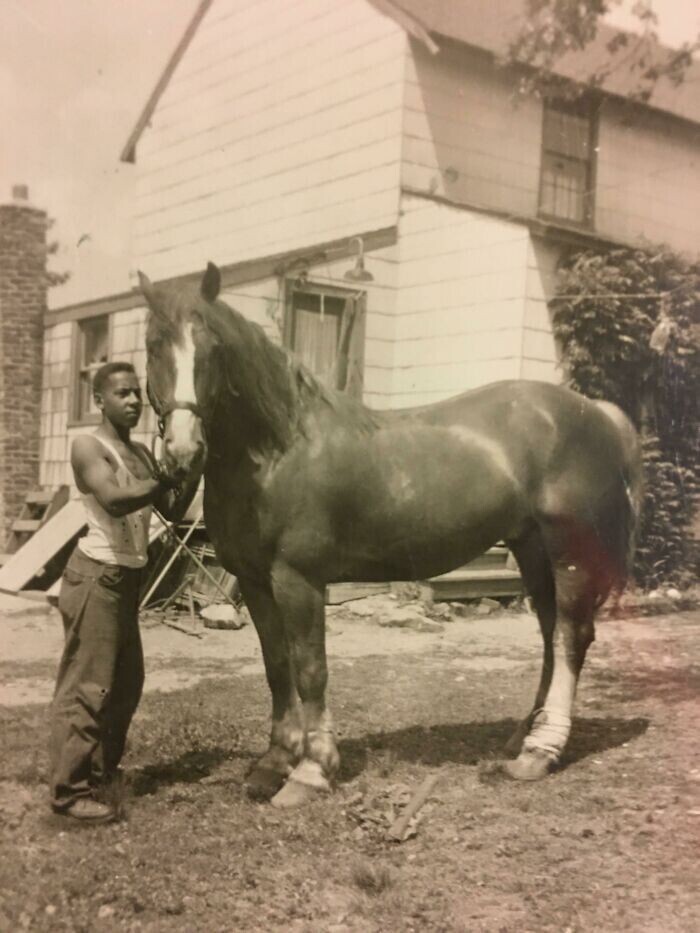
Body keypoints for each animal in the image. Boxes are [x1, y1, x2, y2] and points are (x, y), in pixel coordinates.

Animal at [139, 260, 644, 808]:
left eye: (213, 349)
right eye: (153, 345)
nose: (183, 452)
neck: (280, 451)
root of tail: (598, 413)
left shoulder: (298, 581)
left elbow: (310, 669)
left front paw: (311, 771)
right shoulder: (254, 582)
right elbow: (276, 666)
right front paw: (273, 763)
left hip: (568, 553)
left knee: (571, 636)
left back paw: (540, 752)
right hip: (531, 550)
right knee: (551, 634)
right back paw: (520, 738)